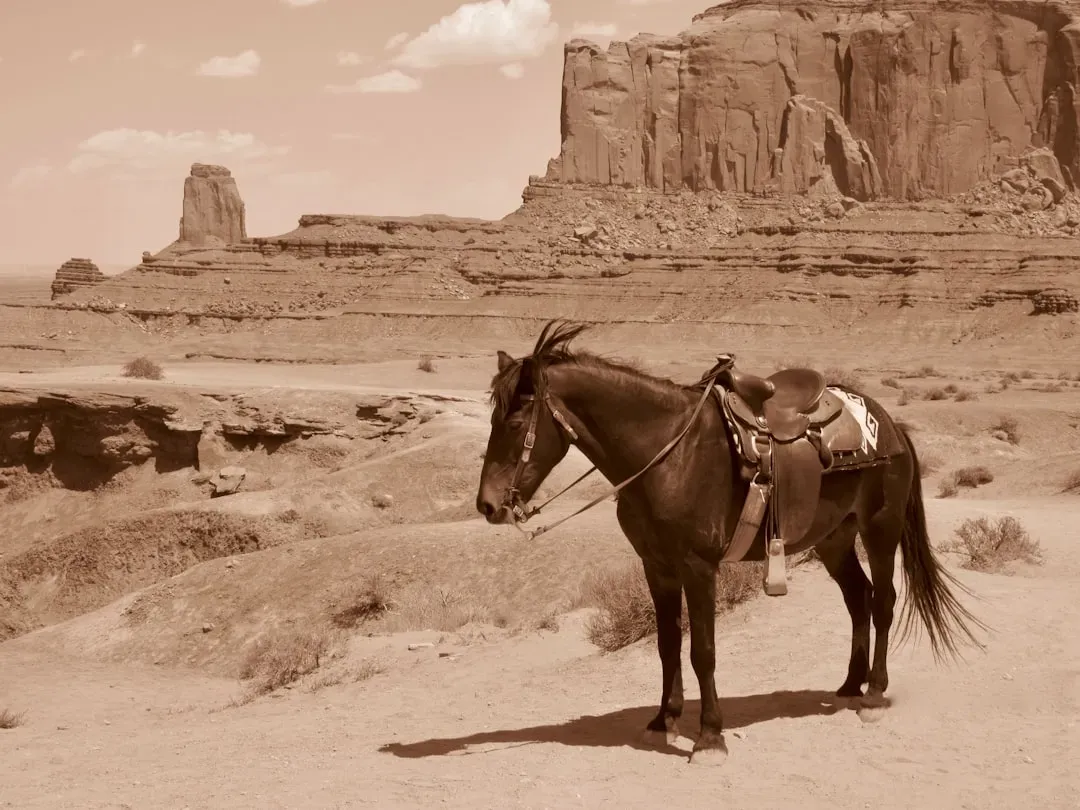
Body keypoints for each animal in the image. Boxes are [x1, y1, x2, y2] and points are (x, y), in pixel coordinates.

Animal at [474, 320, 986, 766]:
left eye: (515, 422)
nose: (488, 505)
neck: (668, 453)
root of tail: (890, 423)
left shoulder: (699, 566)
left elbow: (703, 651)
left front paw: (710, 738)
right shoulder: (656, 566)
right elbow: (667, 644)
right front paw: (663, 720)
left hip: (879, 529)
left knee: (883, 601)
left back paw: (874, 693)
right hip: (834, 540)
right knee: (858, 599)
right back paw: (848, 686)